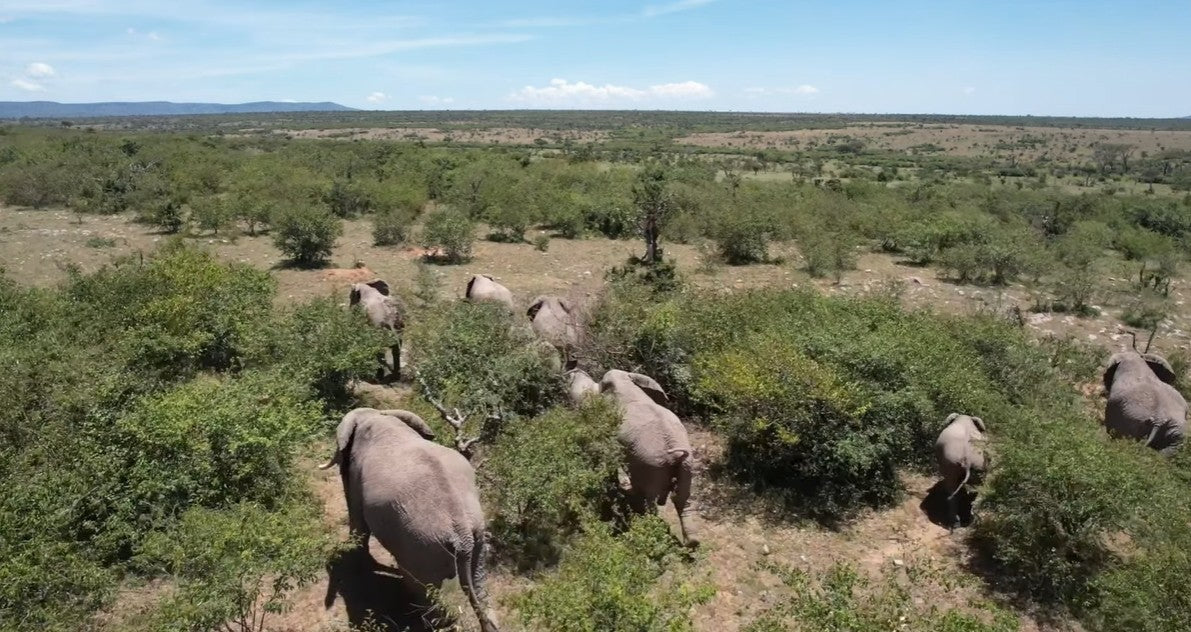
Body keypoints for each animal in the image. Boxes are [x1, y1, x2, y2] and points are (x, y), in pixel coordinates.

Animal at [319, 409, 500, 632]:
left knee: (426, 592)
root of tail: (463, 532)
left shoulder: (354, 473)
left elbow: (357, 515)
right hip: (477, 536)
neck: (378, 417)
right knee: (478, 580)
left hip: (423, 547)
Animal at [595, 373, 695, 547]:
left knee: (651, 500)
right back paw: (692, 544)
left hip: (652, 465)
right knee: (682, 498)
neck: (626, 382)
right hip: (685, 464)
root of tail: (675, 451)